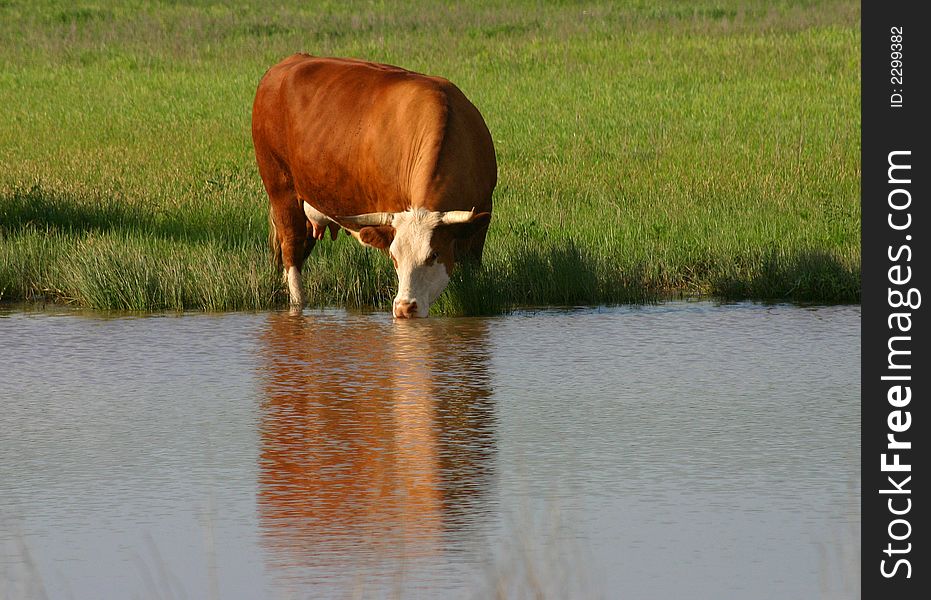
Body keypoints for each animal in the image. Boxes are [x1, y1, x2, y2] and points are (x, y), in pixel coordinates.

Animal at [248, 55, 496, 318]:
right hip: (281, 191)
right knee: (291, 251)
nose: (404, 307)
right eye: (395, 257)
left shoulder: (481, 217)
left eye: (433, 254)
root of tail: (288, 62)